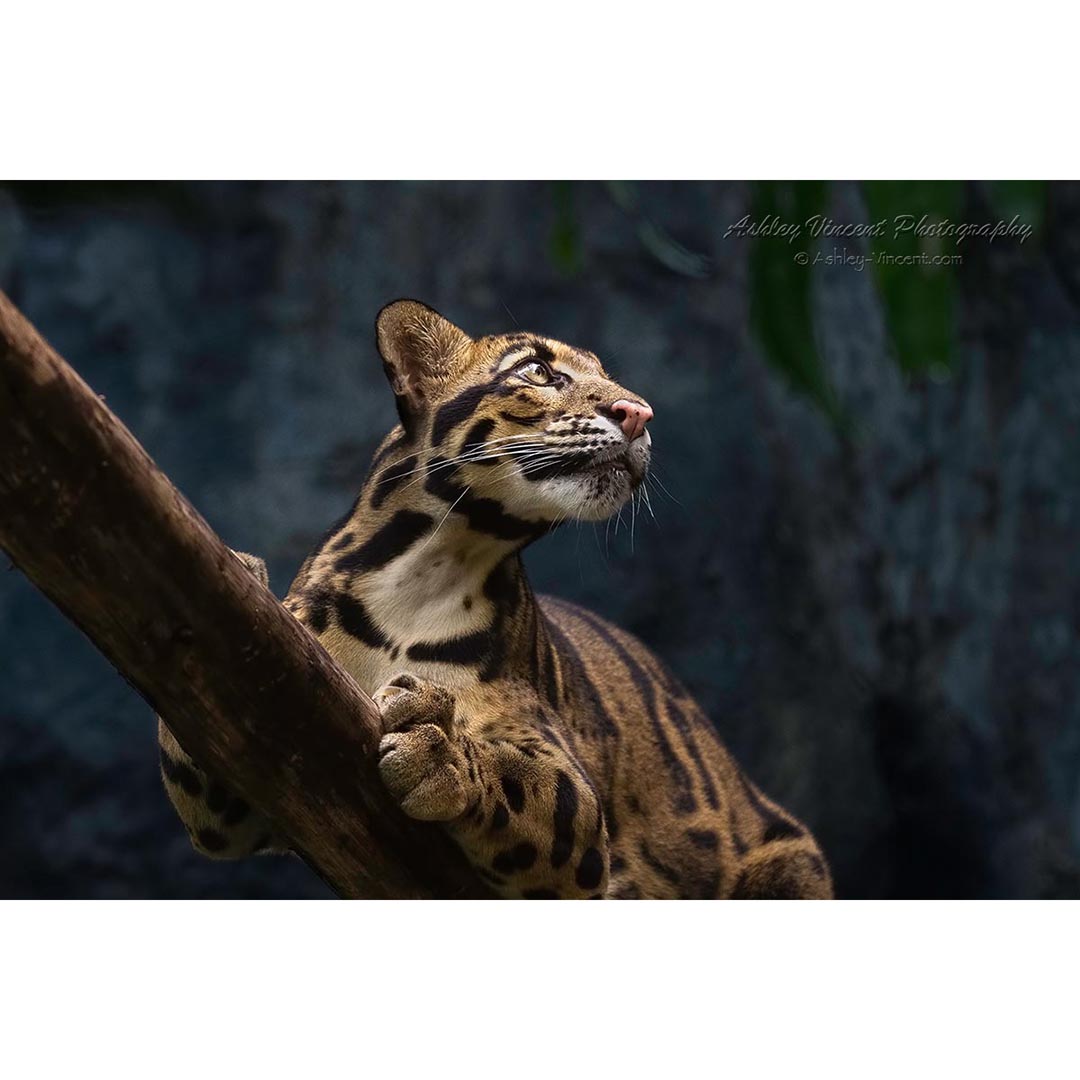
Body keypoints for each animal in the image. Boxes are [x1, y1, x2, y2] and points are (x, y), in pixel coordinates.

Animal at [158, 299, 833, 899]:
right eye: (539, 371)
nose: (639, 413)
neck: (429, 566)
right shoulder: (249, 786)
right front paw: (241, 577)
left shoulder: (574, 800)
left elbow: (529, 783)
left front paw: (441, 752)